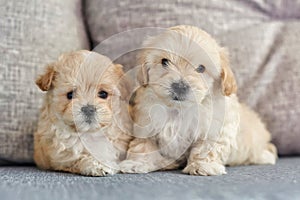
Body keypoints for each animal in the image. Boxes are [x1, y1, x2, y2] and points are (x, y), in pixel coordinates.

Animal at [120, 25, 278, 176]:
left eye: (201, 68)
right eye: (164, 62)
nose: (179, 86)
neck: (179, 109)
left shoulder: (216, 128)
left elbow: (206, 148)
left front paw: (203, 166)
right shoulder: (147, 125)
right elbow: (143, 145)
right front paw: (137, 163)